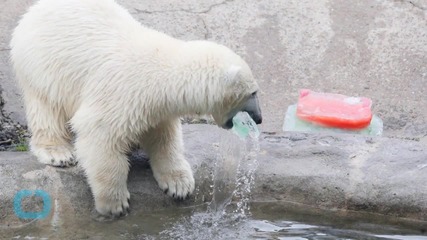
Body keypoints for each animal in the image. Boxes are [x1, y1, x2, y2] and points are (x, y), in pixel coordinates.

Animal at [10, 0, 262, 218]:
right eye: (253, 92)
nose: (259, 118)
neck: (164, 72)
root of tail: (34, 10)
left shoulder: (157, 106)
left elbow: (164, 139)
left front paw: (179, 185)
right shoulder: (123, 92)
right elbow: (99, 136)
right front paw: (114, 203)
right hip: (43, 66)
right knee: (46, 108)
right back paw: (58, 153)